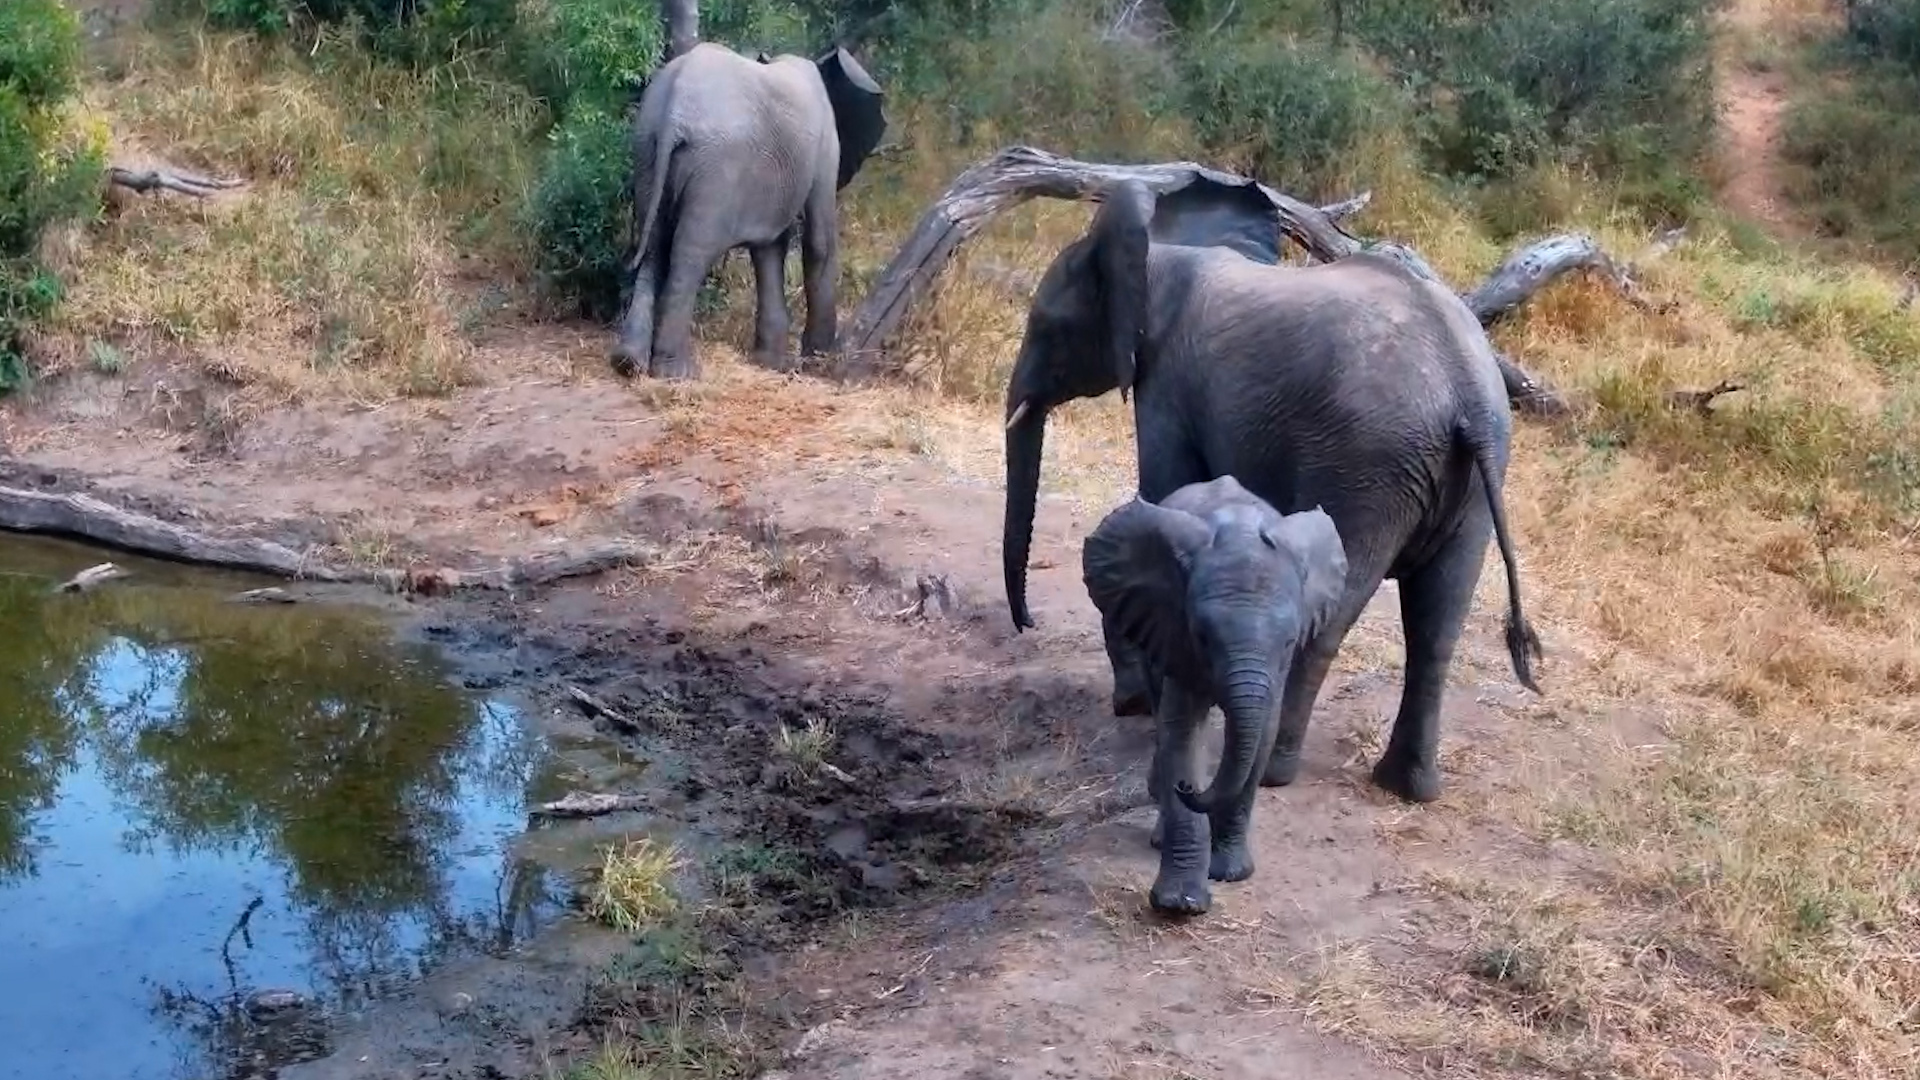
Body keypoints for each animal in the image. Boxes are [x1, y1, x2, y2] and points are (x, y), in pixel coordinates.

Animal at [609, 41, 887, 381]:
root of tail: (674, 107)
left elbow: (769, 248)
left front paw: (772, 362)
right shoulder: (825, 143)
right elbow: (818, 242)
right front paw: (817, 359)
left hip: (646, 149)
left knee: (654, 247)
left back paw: (628, 363)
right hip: (715, 168)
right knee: (690, 253)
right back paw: (677, 372)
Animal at [1002, 175, 1544, 819]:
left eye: (1046, 326)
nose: (1028, 623)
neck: (1157, 255)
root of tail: (1466, 390)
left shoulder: (1168, 386)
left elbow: (1164, 493)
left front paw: (1140, 703)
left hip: (1366, 464)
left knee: (1334, 608)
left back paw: (1272, 775)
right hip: (1476, 480)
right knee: (1438, 623)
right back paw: (1407, 787)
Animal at [1083, 474, 1349, 915]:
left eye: (1290, 639)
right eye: (1202, 637)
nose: (1188, 789)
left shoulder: (1277, 667)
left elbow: (1263, 733)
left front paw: (1230, 873)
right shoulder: (1173, 630)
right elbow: (1182, 731)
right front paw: (1180, 905)